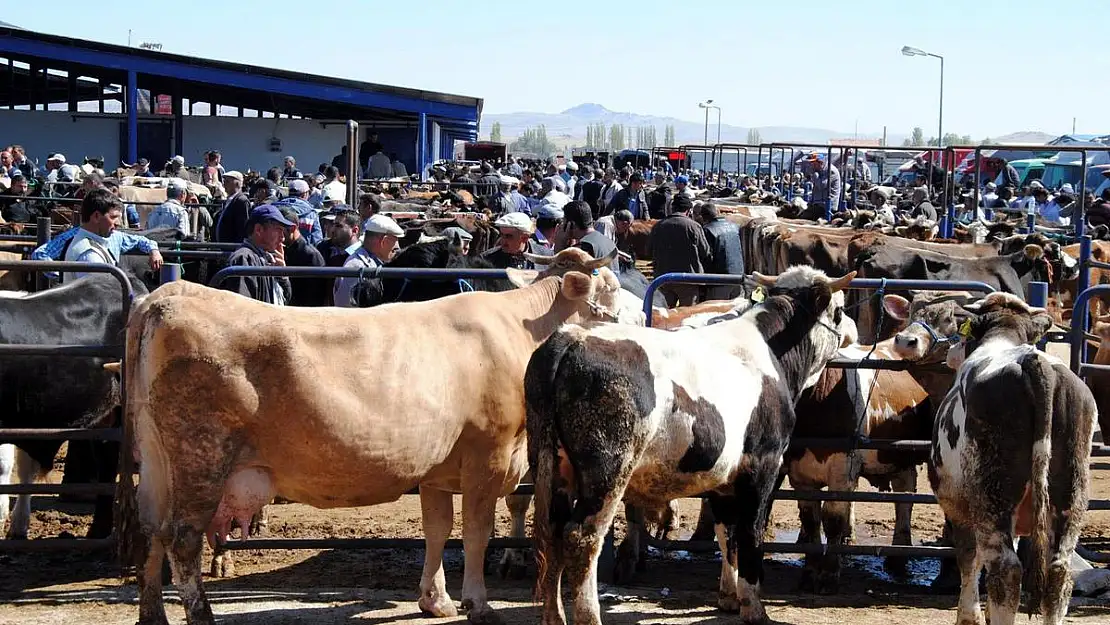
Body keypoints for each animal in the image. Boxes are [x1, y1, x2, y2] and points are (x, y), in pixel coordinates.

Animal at [120, 247, 626, 625]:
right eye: (613, 289)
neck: (520, 331)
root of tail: (166, 296)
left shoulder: (437, 468)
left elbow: (438, 530)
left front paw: (434, 600)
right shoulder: (490, 453)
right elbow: (476, 532)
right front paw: (477, 603)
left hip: (156, 461)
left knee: (149, 531)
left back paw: (152, 615)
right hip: (201, 457)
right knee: (182, 538)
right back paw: (201, 615)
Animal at [523, 266, 852, 621]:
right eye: (839, 310)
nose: (851, 330)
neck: (771, 354)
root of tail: (570, 338)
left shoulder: (723, 479)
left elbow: (727, 535)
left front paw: (728, 597)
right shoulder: (764, 466)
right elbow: (751, 533)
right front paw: (753, 607)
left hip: (550, 465)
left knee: (552, 533)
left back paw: (554, 616)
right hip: (607, 471)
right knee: (581, 538)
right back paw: (589, 616)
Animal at [932, 293, 1096, 625]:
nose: (951, 351)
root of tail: (1037, 363)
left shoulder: (957, 505)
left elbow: (969, 557)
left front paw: (968, 615)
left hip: (992, 493)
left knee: (1005, 569)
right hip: (1071, 493)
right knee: (1059, 571)